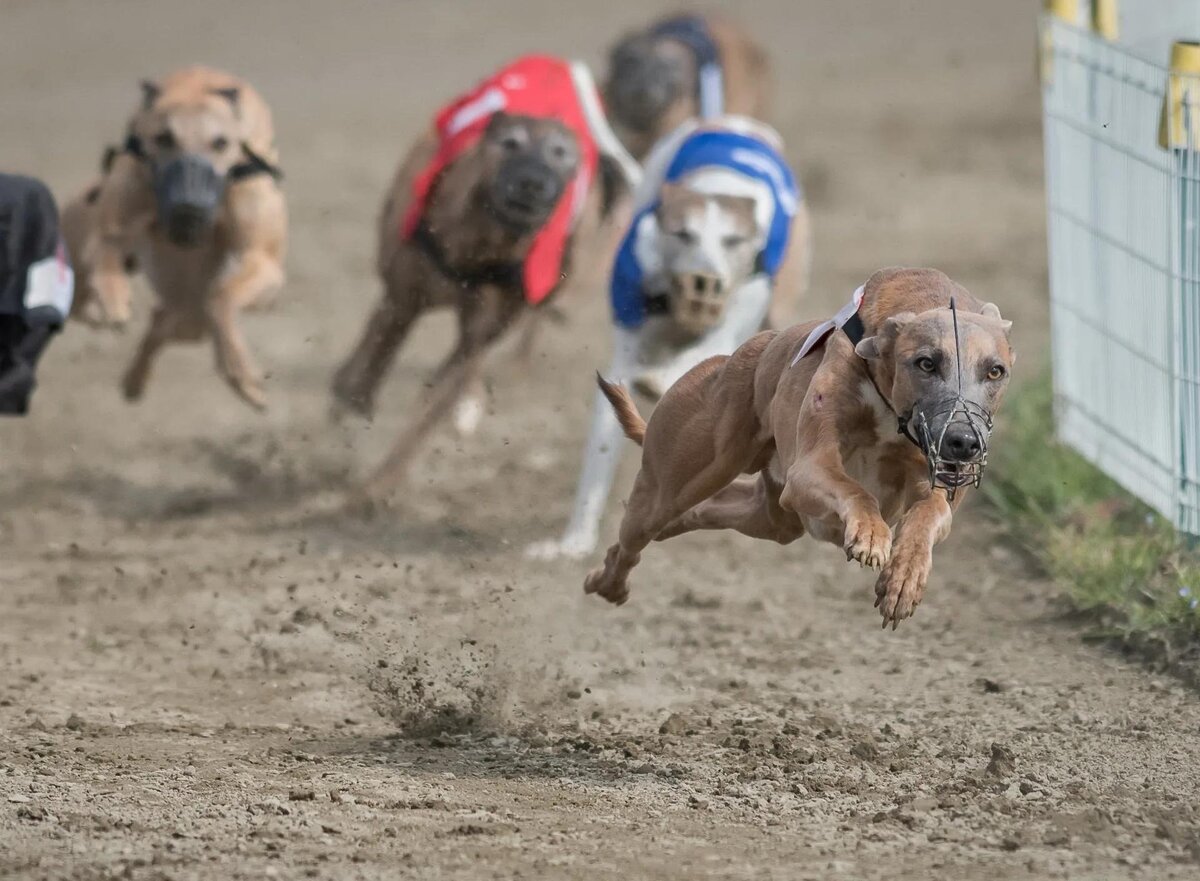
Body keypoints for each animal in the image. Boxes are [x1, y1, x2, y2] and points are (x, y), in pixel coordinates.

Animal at [65, 67, 288, 412]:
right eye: (164, 138)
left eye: (221, 142)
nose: (188, 209)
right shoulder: (112, 227)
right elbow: (107, 254)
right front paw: (115, 302)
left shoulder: (262, 260)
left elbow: (221, 299)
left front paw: (243, 374)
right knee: (154, 316)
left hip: (193, 307)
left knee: (174, 318)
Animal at [530, 115, 811, 559]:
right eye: (683, 234)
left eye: (732, 240)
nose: (705, 282)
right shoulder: (625, 353)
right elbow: (603, 444)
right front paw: (573, 542)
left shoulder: (731, 331)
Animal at [580, 267, 1012, 628]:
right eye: (925, 363)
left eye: (996, 371)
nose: (963, 441)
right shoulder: (811, 467)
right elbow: (857, 491)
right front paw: (872, 535)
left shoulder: (934, 484)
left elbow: (929, 513)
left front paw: (904, 578)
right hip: (676, 482)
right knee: (634, 537)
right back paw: (606, 581)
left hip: (775, 517)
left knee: (711, 509)